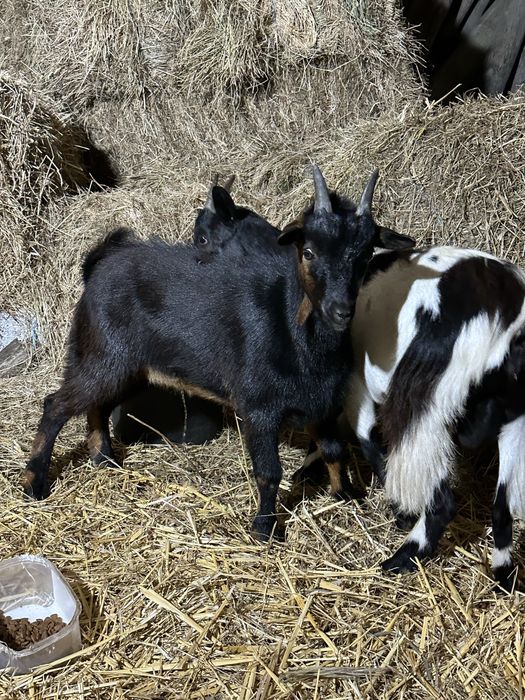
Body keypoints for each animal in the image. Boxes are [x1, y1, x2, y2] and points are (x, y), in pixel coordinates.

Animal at [21, 167, 412, 541]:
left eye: (365, 255)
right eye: (309, 251)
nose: (340, 310)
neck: (297, 334)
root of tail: (95, 270)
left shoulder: (322, 403)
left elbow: (334, 449)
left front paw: (346, 494)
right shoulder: (258, 407)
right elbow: (269, 472)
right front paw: (264, 528)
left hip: (130, 368)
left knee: (98, 406)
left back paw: (104, 460)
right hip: (103, 356)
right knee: (56, 405)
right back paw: (34, 483)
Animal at [304, 245, 525, 591]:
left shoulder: (357, 385)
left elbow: (368, 439)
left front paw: (400, 511)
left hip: (426, 403)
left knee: (443, 500)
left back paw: (402, 557)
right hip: (515, 414)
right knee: (502, 507)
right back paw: (504, 575)